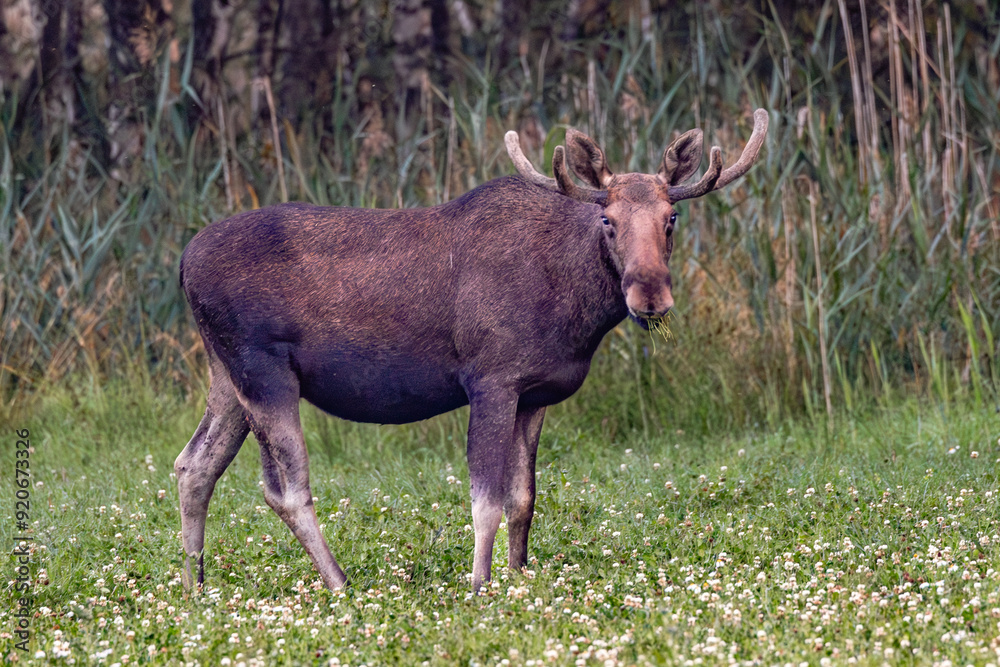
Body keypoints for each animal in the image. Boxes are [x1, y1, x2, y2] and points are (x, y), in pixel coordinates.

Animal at [175, 109, 768, 592]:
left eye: (672, 218)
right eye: (608, 220)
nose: (650, 295)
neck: (575, 313)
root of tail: (182, 263)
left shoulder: (535, 393)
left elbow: (523, 498)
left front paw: (518, 575)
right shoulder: (492, 379)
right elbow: (484, 500)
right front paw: (481, 585)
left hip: (226, 373)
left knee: (194, 465)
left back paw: (195, 586)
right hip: (263, 369)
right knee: (286, 489)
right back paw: (340, 583)